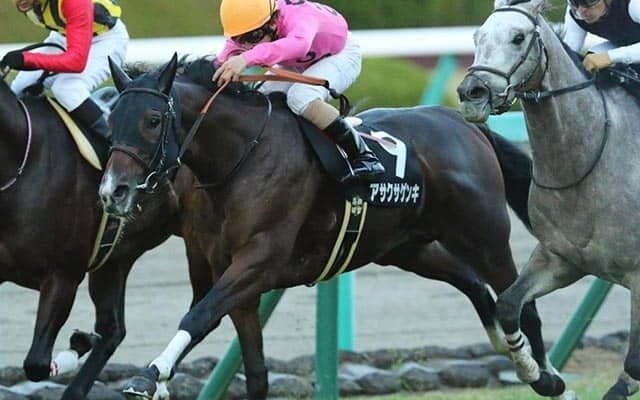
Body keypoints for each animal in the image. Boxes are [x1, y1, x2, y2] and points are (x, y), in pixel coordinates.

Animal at [99, 54, 570, 400]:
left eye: (152, 120)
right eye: (110, 120)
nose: (112, 191)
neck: (242, 157)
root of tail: (463, 125)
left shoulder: (259, 262)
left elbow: (197, 317)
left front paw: (149, 375)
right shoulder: (215, 270)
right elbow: (251, 365)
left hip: (484, 236)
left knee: (518, 302)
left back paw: (545, 375)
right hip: (408, 247)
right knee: (476, 287)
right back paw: (517, 358)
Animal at [457, 0, 640, 398]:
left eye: (518, 37)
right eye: (477, 37)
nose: (471, 93)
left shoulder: (639, 274)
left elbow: (632, 366)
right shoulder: (560, 259)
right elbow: (509, 306)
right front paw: (542, 376)